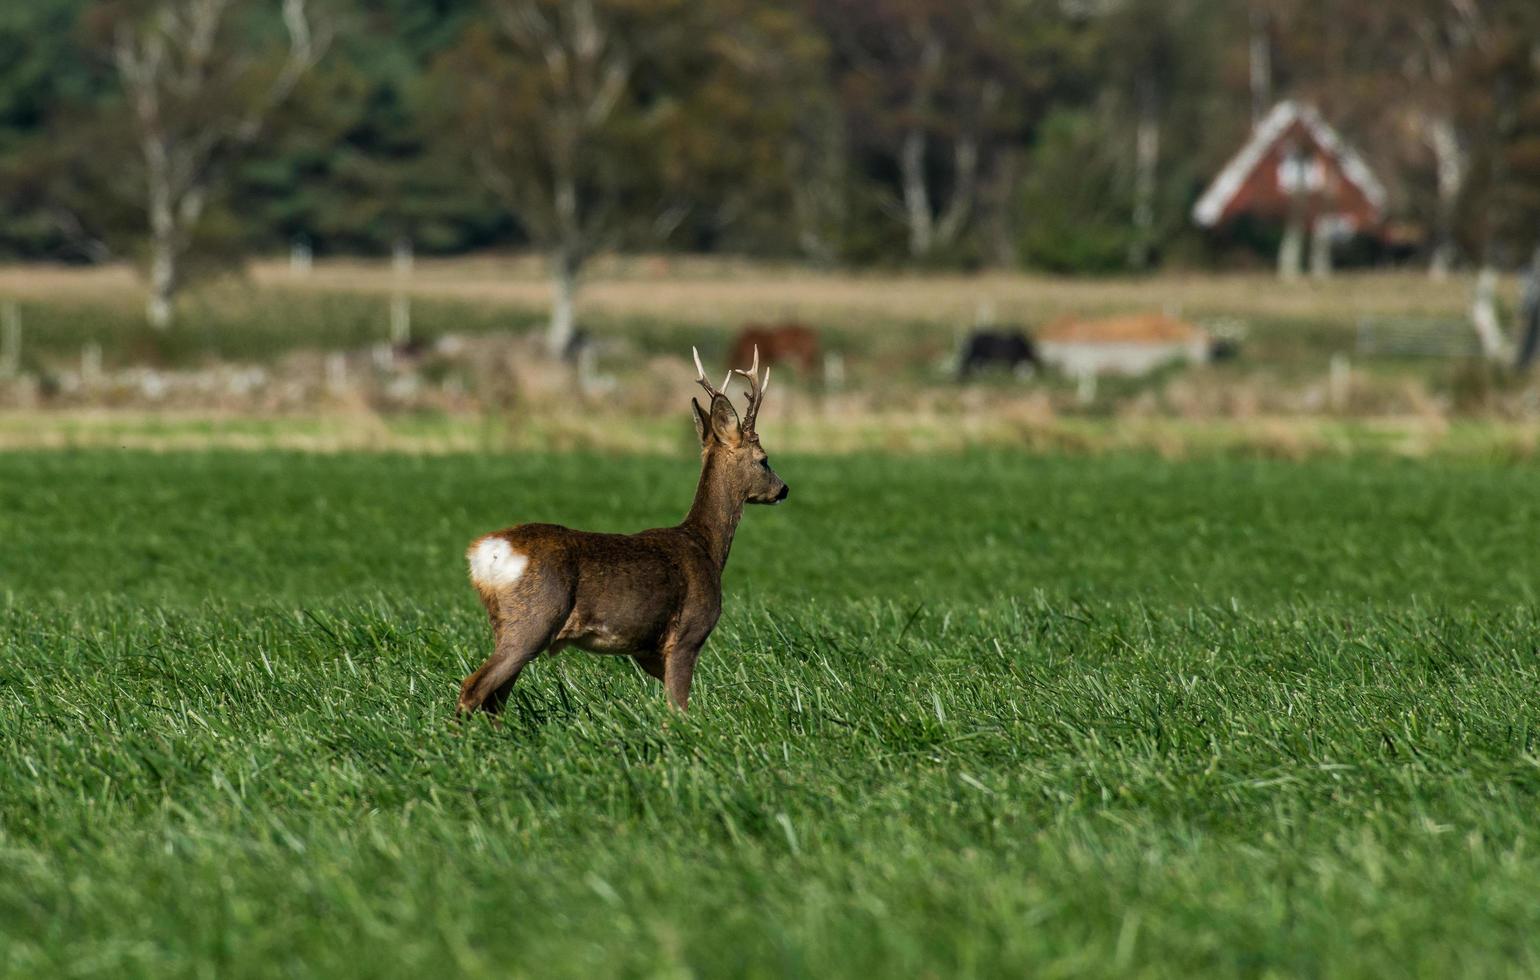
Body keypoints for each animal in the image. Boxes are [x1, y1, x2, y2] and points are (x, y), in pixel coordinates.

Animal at [455, 348, 788, 714]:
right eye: (764, 459)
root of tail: (486, 552)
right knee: (474, 688)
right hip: (534, 619)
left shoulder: (647, 653)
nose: (783, 489)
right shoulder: (687, 634)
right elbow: (679, 709)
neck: (707, 547)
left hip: (505, 623)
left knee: (494, 698)